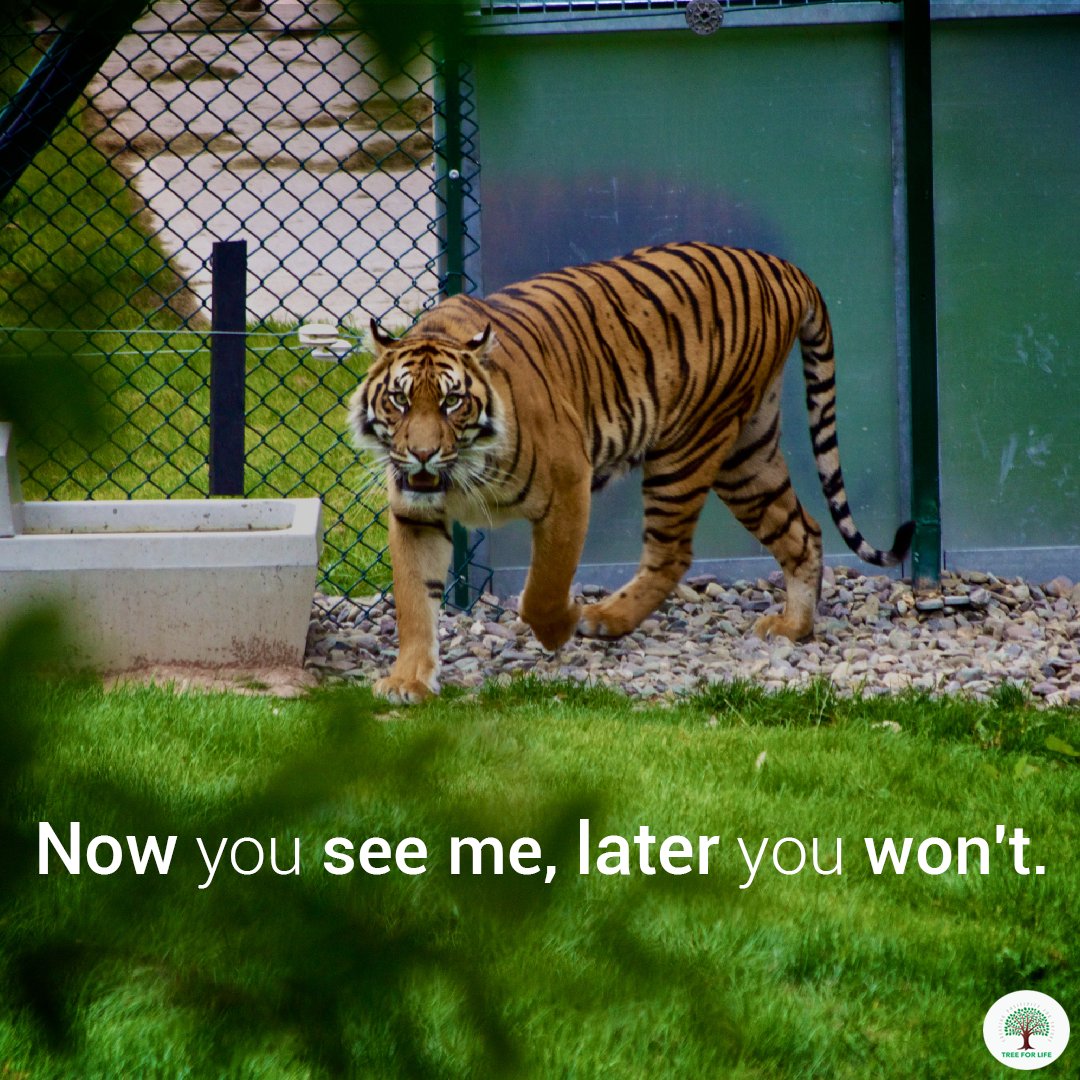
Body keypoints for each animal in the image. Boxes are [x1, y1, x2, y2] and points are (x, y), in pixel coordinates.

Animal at [349, 242, 913, 703]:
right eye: (399, 400)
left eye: (452, 403)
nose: (422, 454)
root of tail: (783, 267)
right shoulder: (415, 514)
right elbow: (414, 602)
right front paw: (408, 681)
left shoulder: (568, 486)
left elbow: (541, 590)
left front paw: (561, 627)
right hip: (747, 455)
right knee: (803, 530)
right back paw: (792, 628)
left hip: (687, 447)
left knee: (673, 553)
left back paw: (604, 619)